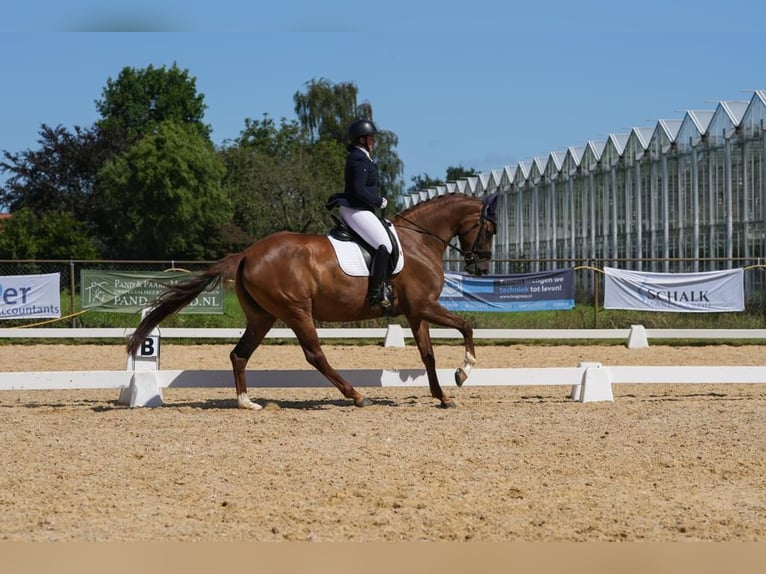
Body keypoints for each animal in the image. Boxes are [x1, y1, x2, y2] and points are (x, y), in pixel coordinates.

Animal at [129, 192, 500, 410]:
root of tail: (246, 253)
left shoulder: (414, 312)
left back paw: (246, 402)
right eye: (490, 230)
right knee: (315, 355)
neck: (419, 241)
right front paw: (463, 372)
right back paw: (355, 395)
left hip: (262, 317)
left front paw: (443, 396)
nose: (480, 267)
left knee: (239, 354)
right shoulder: (423, 306)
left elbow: (428, 355)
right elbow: (466, 326)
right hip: (296, 311)